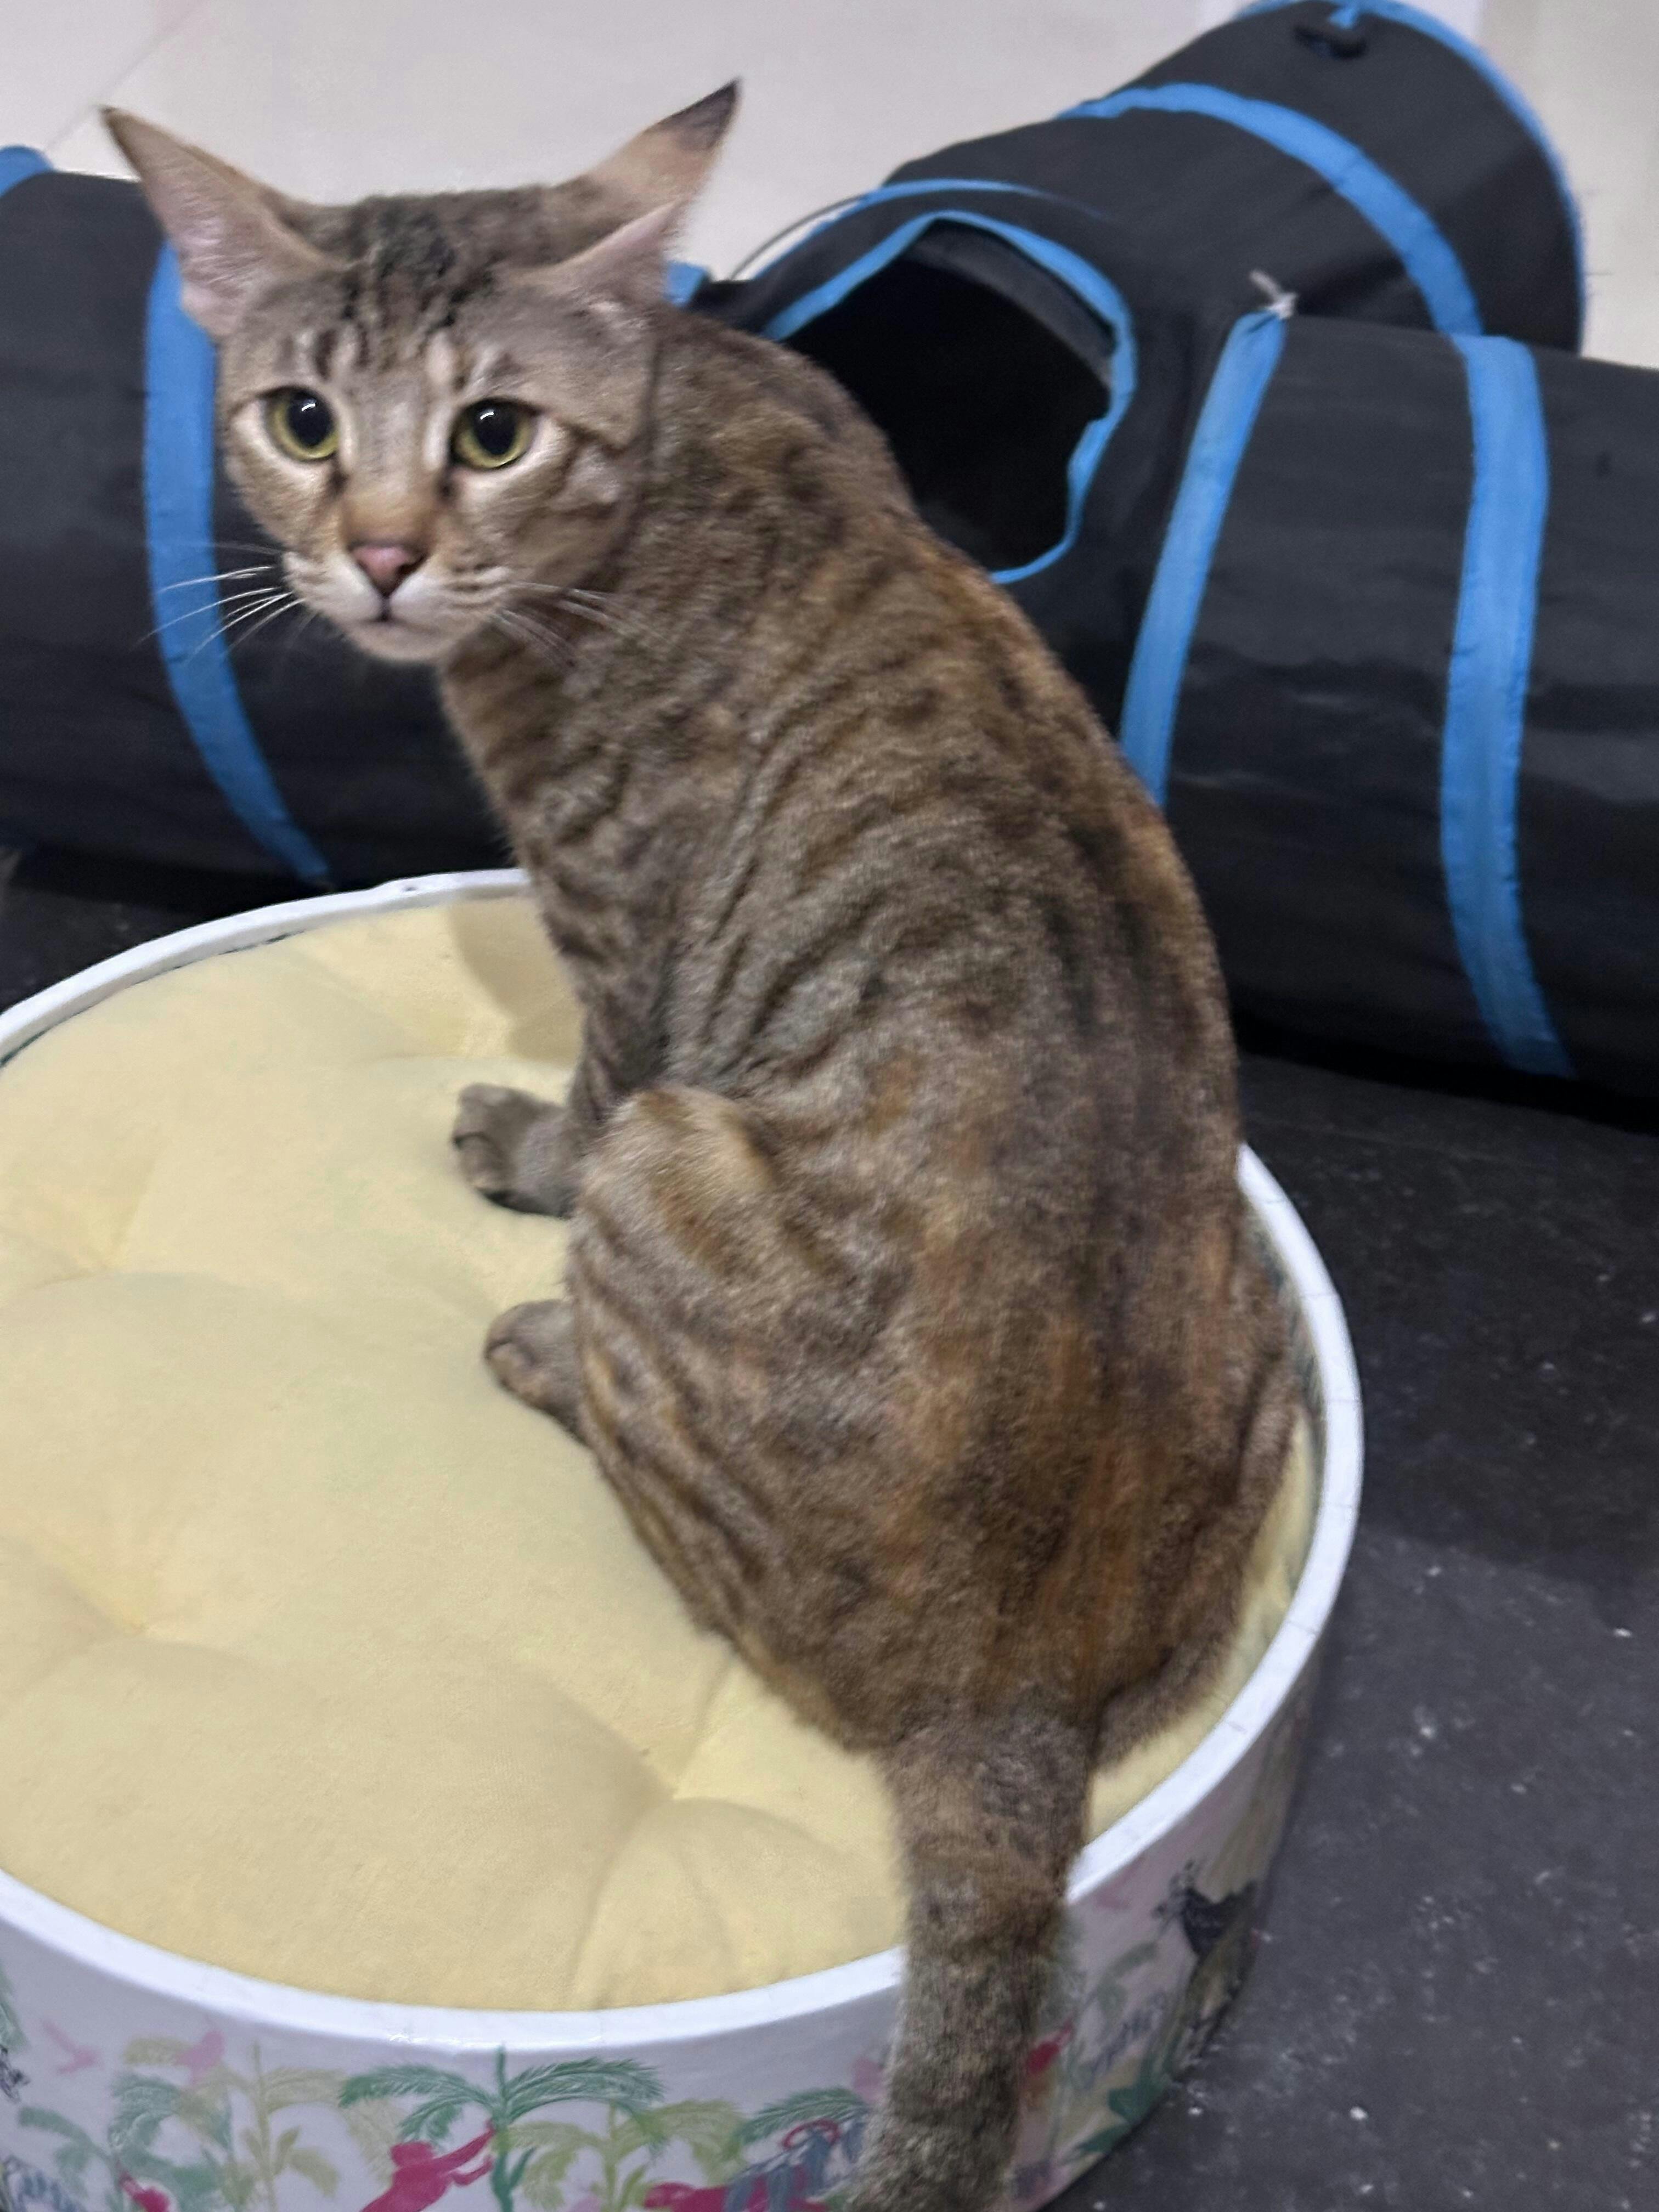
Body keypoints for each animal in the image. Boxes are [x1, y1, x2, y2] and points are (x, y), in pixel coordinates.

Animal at [110, 90, 1297, 2212]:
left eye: (493, 431)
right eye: (302, 420)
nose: (382, 554)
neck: (678, 423)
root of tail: (1014, 1710)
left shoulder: (619, 947)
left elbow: (580, 1093)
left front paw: (516, 1144)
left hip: (679, 1167)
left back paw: (541, 1347)